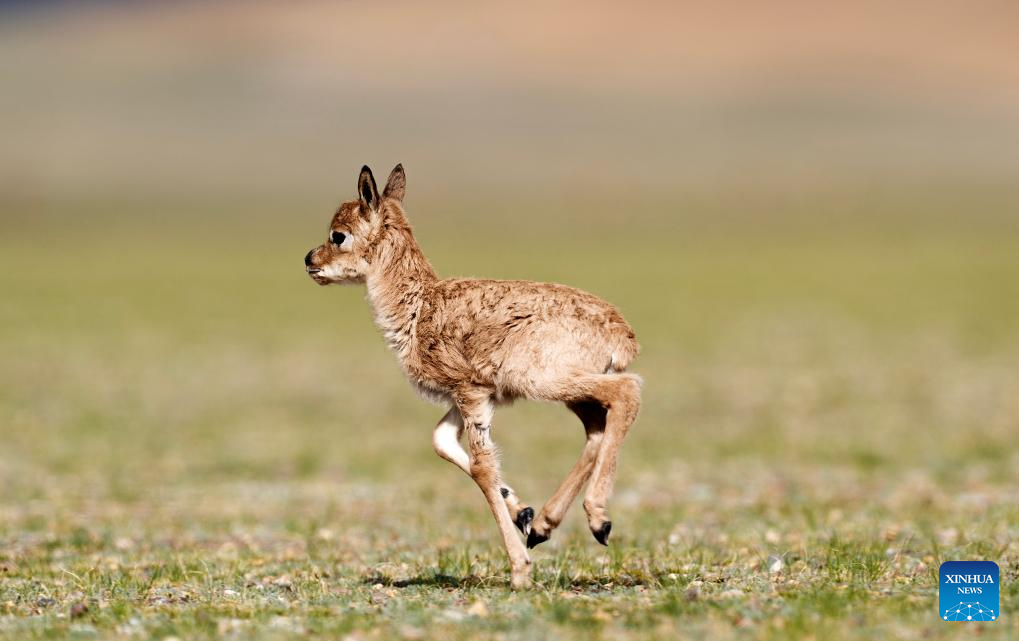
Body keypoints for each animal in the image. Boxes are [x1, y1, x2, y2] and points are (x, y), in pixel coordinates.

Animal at [301, 166, 639, 591]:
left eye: (338, 235)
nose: (309, 259)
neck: (420, 307)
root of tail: (623, 333)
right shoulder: (476, 397)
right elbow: (441, 441)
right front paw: (522, 512)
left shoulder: (469, 392)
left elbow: (481, 466)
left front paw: (519, 569)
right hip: (570, 393)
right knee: (597, 425)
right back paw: (544, 524)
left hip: (552, 382)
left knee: (627, 393)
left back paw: (598, 520)